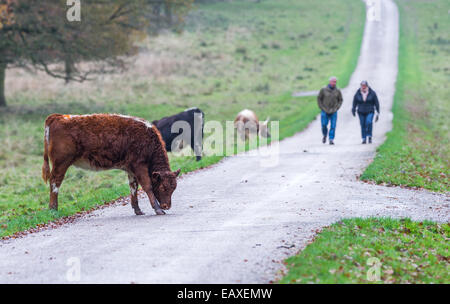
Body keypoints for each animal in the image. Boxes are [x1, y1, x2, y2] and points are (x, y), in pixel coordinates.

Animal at [41, 114, 179, 216]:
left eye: (174, 188)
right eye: (163, 187)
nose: (167, 206)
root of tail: (58, 116)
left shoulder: (131, 169)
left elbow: (133, 187)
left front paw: (137, 209)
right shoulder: (139, 165)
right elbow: (147, 186)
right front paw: (157, 209)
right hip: (61, 163)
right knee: (55, 182)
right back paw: (53, 209)